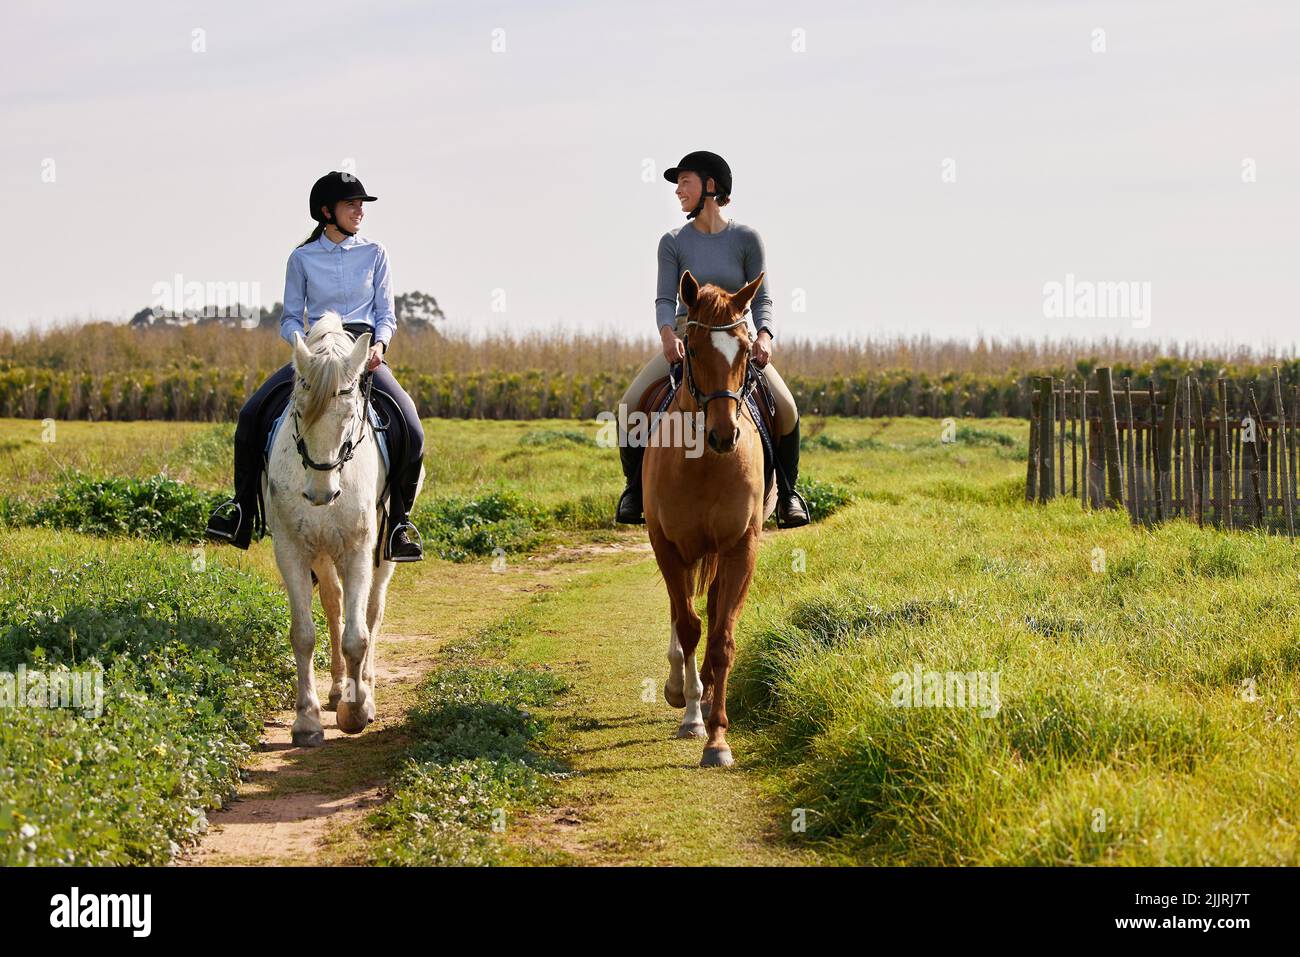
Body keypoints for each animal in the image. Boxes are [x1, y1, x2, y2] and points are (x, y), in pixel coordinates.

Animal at [261, 310, 423, 743]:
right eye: (298, 411)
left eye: (350, 416)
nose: (321, 493)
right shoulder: (292, 549)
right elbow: (304, 634)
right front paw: (307, 720)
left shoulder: (358, 549)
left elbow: (357, 636)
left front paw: (356, 710)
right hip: (321, 550)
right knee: (334, 606)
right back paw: (336, 690)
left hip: (382, 552)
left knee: (371, 611)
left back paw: (365, 687)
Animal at [642, 269, 769, 769]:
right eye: (692, 350)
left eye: (747, 351)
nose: (724, 435)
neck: (704, 463)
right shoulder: (667, 546)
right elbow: (689, 626)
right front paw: (692, 715)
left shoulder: (740, 548)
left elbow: (721, 639)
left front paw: (717, 738)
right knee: (681, 615)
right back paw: (681, 687)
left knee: (711, 611)